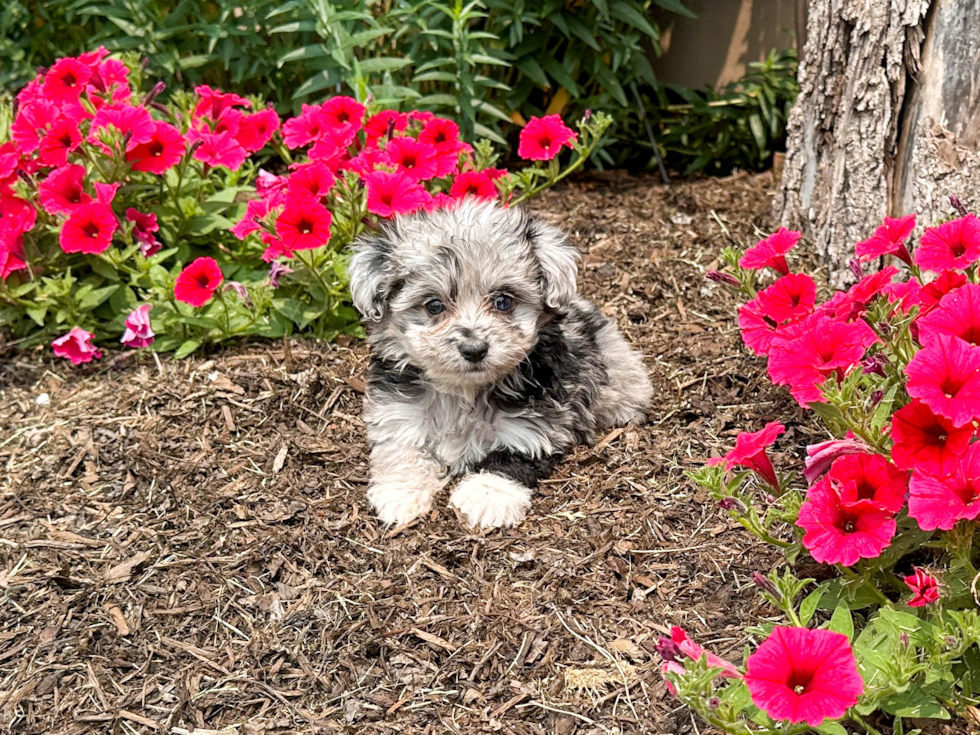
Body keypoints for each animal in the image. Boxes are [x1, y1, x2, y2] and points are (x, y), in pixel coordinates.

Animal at [344, 197, 652, 528]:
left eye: (503, 301)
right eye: (434, 305)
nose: (474, 349)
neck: (464, 391)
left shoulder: (534, 425)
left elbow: (509, 459)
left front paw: (487, 496)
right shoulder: (399, 413)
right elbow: (401, 451)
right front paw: (401, 493)